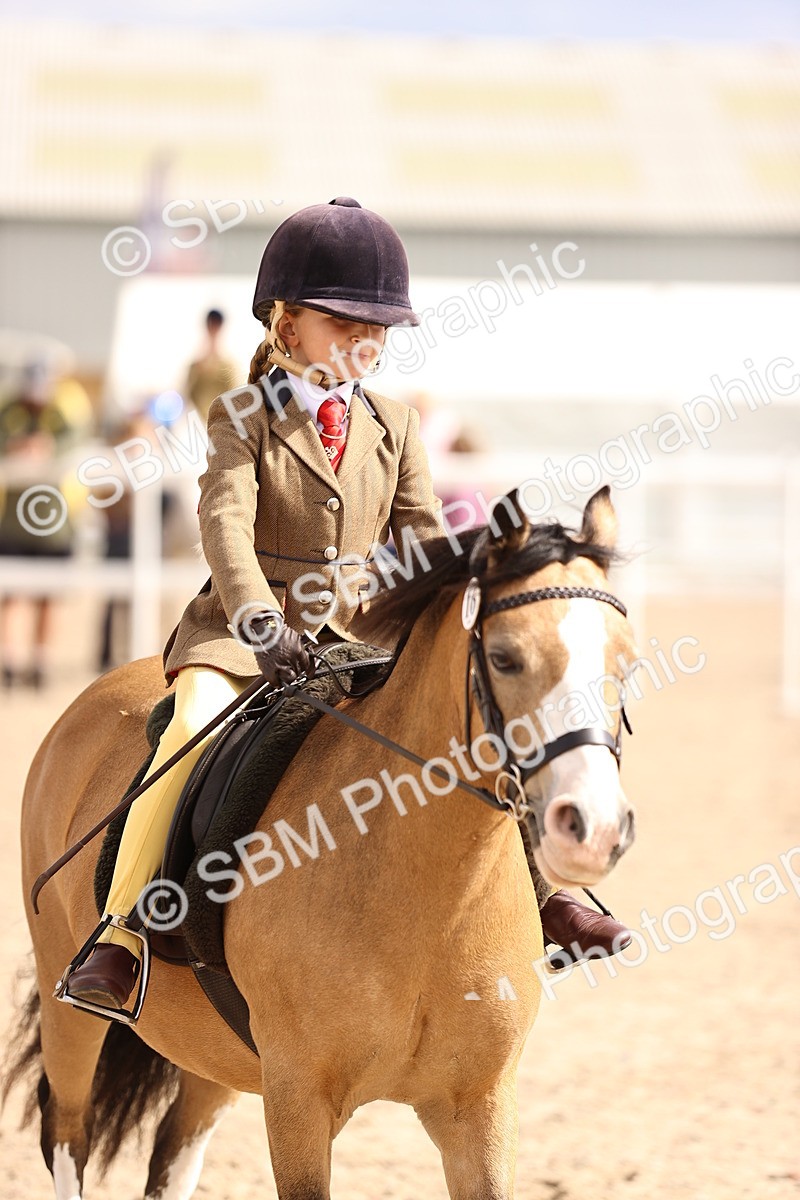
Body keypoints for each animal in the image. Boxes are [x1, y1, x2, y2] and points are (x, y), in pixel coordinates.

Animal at [4, 487, 638, 1200]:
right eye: (504, 658)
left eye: (626, 661)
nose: (594, 829)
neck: (424, 889)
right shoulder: (298, 1100)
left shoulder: (481, 1107)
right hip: (69, 1011)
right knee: (69, 1134)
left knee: (175, 1152)